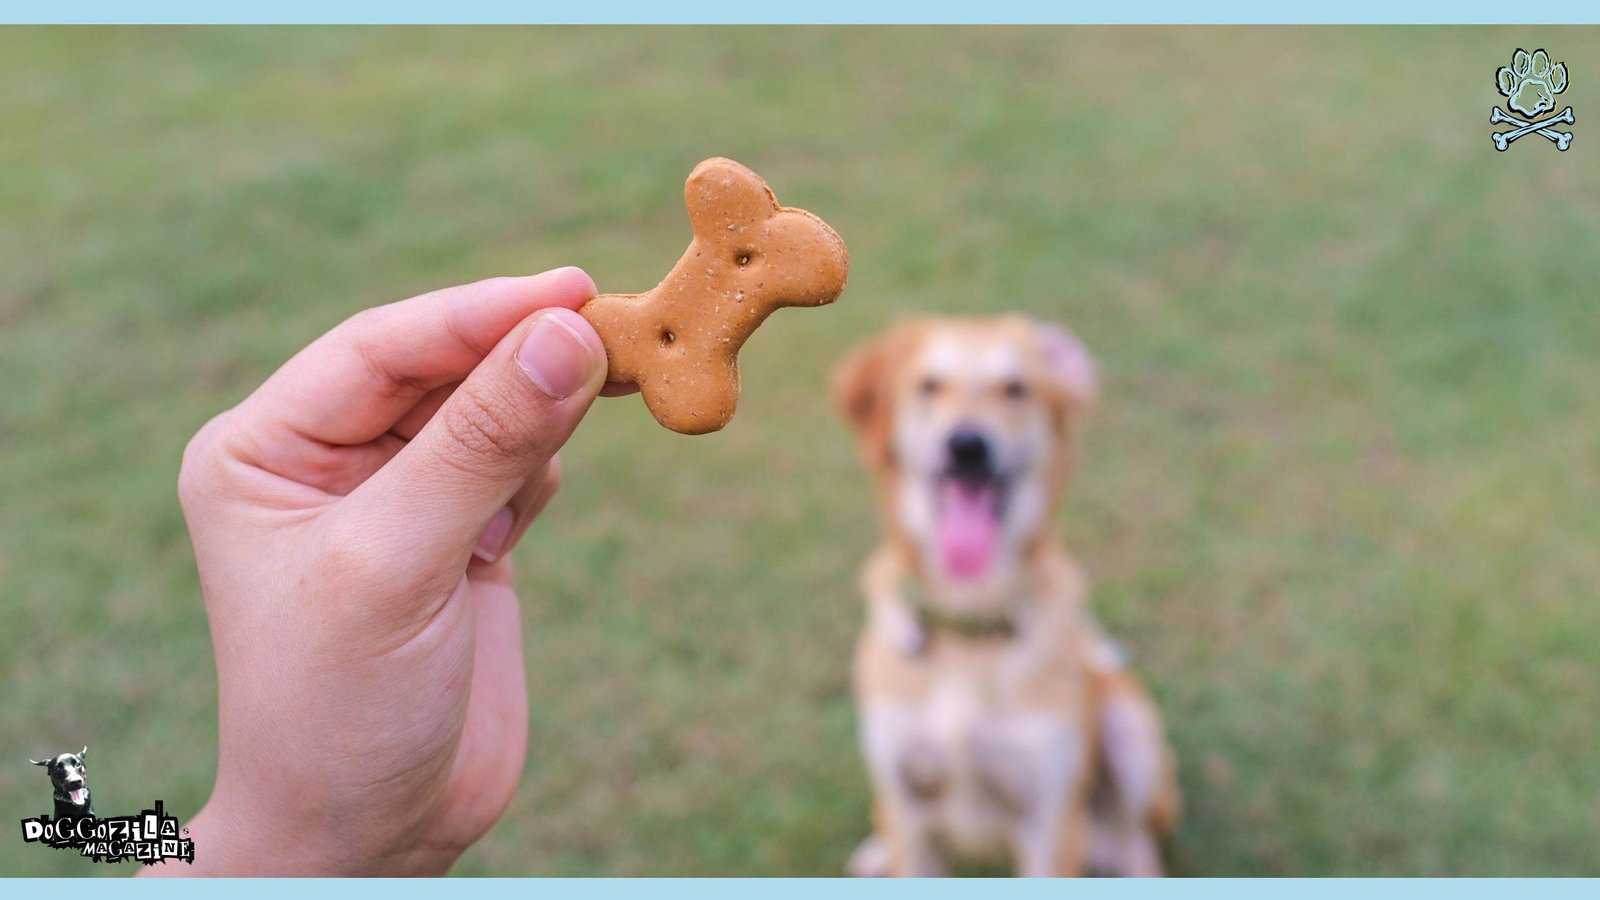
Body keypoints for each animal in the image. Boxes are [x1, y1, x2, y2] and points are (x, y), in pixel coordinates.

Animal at [832, 315, 1184, 877]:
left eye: (1016, 389)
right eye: (929, 385)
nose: (967, 445)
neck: (968, 619)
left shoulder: (1049, 823)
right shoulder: (908, 806)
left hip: (1131, 733)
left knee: (1136, 841)